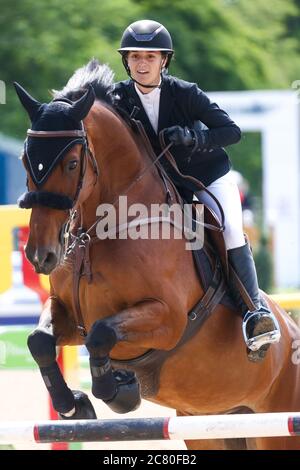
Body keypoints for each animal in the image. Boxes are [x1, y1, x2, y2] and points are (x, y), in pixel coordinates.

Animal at [14, 60, 300, 450]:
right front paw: (74, 405)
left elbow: (101, 334)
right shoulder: (69, 314)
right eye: (25, 160)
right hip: (211, 426)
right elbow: (40, 340)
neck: (106, 230)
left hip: (275, 426)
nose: (41, 255)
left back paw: (260, 326)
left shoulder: (168, 318)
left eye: (72, 164)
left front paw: (119, 391)